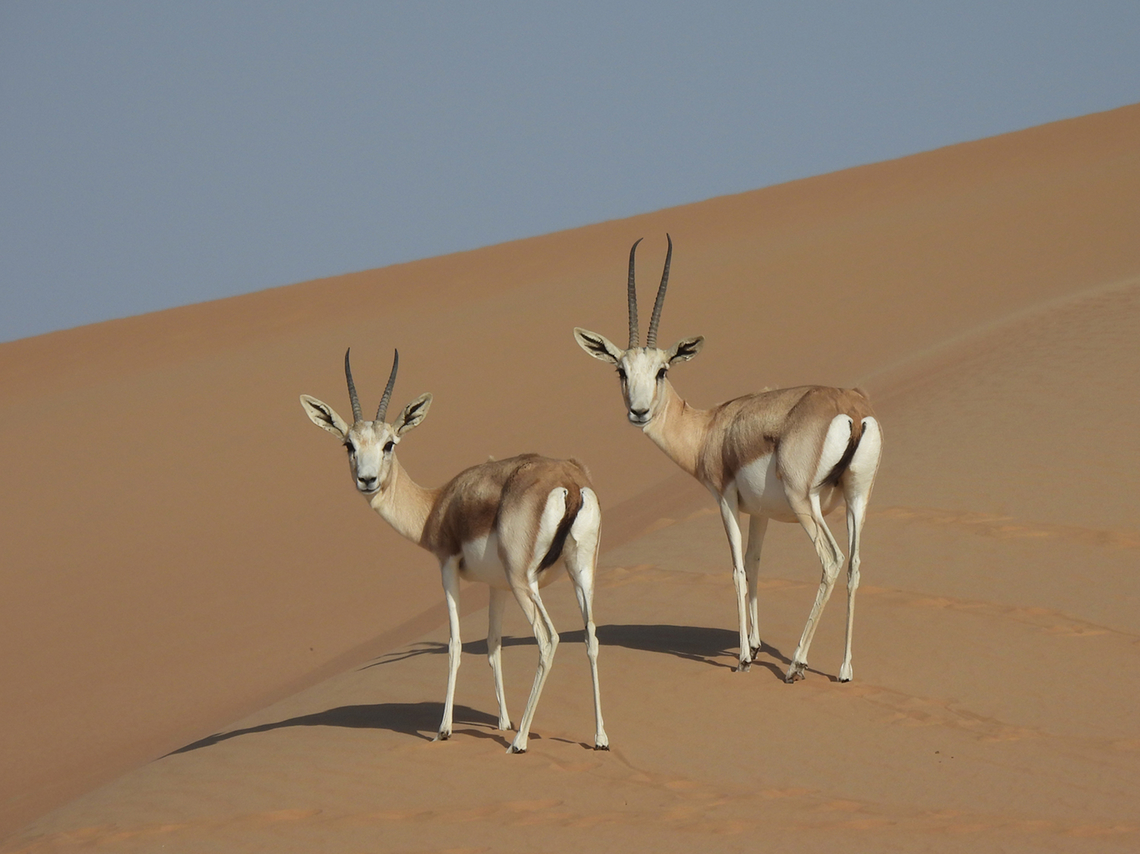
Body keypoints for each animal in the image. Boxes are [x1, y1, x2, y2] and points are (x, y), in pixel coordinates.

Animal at [301, 349, 608, 753]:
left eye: (389, 443)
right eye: (349, 444)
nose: (367, 480)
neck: (437, 504)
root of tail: (570, 483)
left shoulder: (447, 567)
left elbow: (455, 643)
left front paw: (444, 729)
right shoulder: (497, 586)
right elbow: (493, 645)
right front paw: (503, 721)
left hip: (525, 581)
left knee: (549, 638)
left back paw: (520, 742)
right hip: (580, 573)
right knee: (591, 636)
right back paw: (599, 737)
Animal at [574, 236, 882, 681]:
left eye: (662, 370)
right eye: (620, 370)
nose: (639, 411)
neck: (710, 429)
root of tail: (851, 407)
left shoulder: (724, 502)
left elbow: (736, 569)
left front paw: (743, 658)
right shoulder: (760, 513)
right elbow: (754, 565)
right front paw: (753, 643)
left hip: (805, 503)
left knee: (832, 560)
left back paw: (796, 664)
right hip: (858, 498)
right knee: (855, 565)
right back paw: (844, 669)